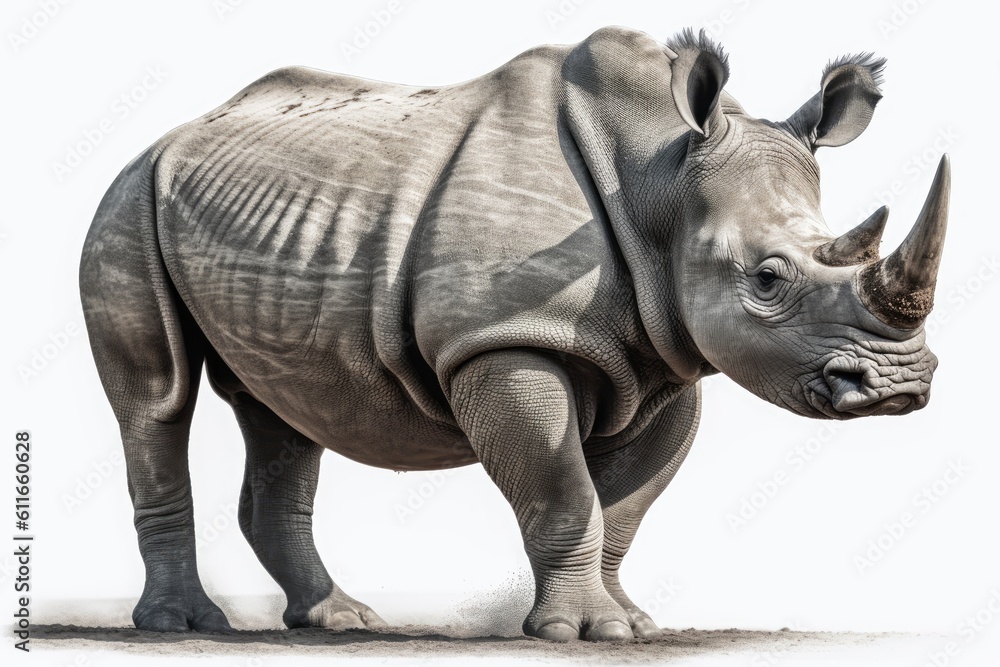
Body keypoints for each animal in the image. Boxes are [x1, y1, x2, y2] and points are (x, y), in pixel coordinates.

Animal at [79, 26, 949, 641]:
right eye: (768, 278)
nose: (900, 385)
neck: (663, 180)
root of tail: (174, 133)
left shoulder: (670, 357)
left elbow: (624, 506)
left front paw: (629, 623)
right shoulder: (504, 337)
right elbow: (564, 489)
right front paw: (580, 629)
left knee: (284, 408)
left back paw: (338, 620)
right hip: (127, 199)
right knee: (157, 399)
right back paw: (183, 623)